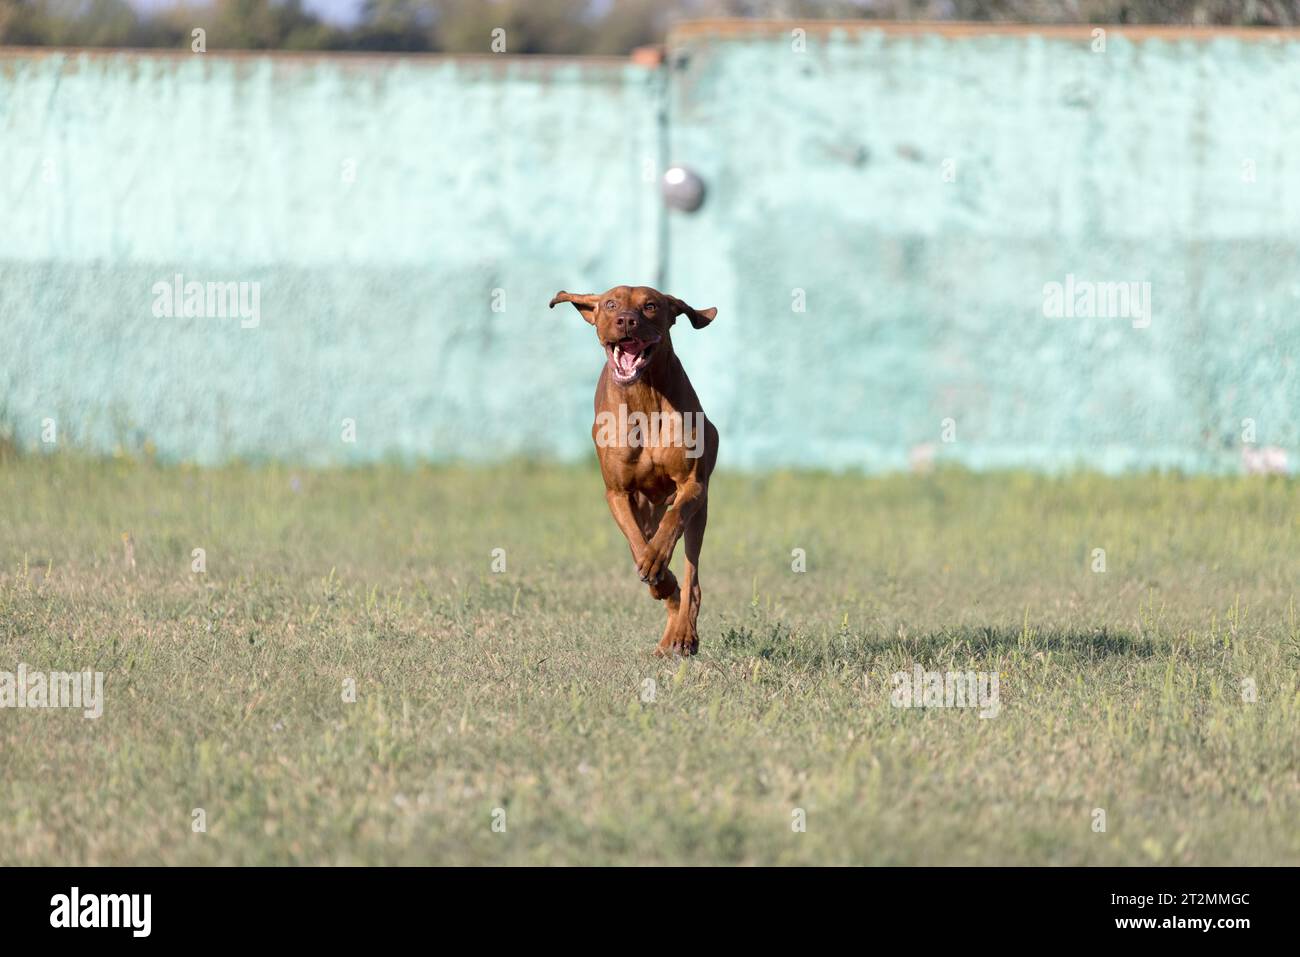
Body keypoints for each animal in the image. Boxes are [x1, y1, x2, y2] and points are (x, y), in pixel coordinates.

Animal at [543, 283, 717, 657]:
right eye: (610, 304)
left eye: (650, 305)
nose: (626, 320)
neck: (644, 398)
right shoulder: (618, 494)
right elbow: (638, 545)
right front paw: (658, 577)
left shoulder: (693, 486)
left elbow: (673, 522)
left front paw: (657, 563)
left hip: (701, 512)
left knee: (692, 576)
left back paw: (683, 634)